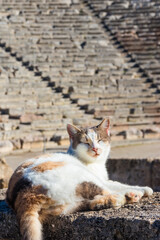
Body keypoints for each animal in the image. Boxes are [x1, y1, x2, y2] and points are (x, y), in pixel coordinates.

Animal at [5, 119, 152, 240]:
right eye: (85, 142)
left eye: (99, 140)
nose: (95, 149)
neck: (95, 164)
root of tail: (25, 194)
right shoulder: (100, 179)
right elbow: (117, 184)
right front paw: (143, 189)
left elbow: (116, 183)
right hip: (81, 176)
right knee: (105, 190)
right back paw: (131, 195)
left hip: (63, 207)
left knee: (91, 203)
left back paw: (118, 199)